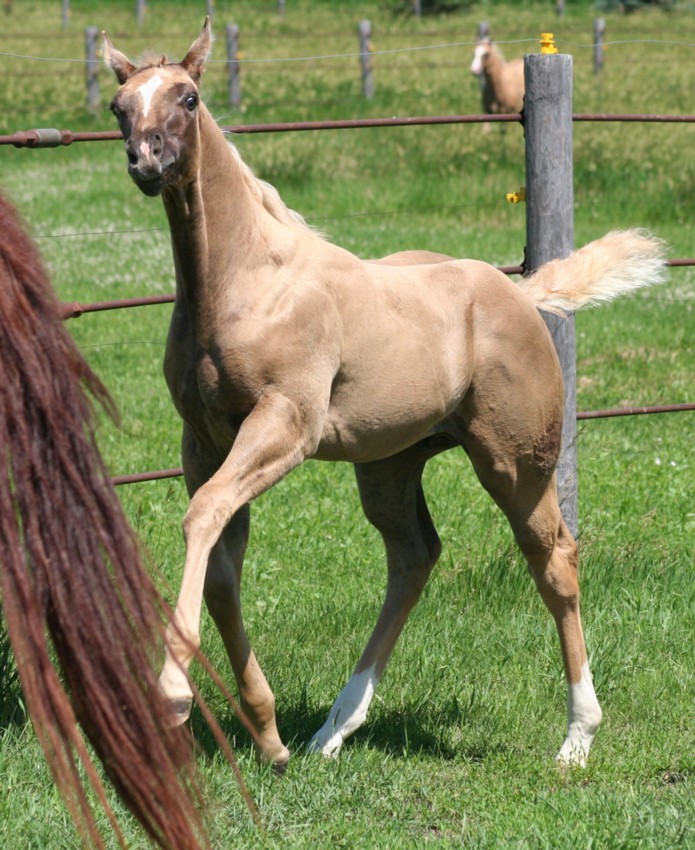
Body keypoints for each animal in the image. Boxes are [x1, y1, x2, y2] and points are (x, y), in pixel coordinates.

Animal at [103, 19, 667, 773]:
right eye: (119, 107)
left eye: (188, 98)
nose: (146, 161)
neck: (243, 282)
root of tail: (520, 293)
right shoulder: (205, 439)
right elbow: (221, 562)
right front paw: (268, 733)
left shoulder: (284, 424)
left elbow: (203, 517)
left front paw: (172, 696)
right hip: (389, 465)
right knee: (413, 558)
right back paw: (333, 728)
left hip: (516, 460)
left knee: (553, 559)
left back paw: (576, 736)